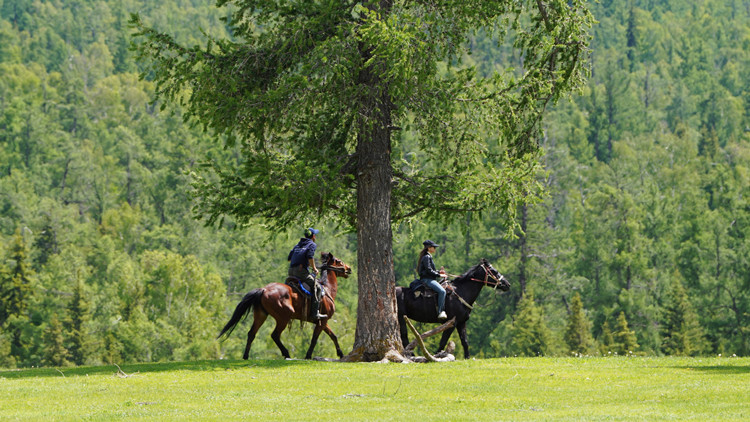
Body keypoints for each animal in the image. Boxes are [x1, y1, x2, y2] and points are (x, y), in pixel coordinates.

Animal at [217, 251, 352, 360]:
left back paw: (246, 356)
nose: (349, 269)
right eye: (339, 261)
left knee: (251, 333)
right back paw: (286, 353)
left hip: (261, 315)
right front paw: (308, 356)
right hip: (283, 318)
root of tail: (264, 290)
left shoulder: (323, 321)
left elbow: (333, 336)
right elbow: (315, 339)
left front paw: (340, 353)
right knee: (275, 335)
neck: (327, 289)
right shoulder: (322, 321)